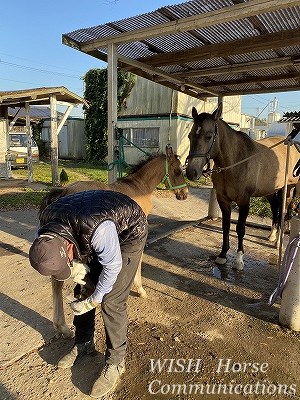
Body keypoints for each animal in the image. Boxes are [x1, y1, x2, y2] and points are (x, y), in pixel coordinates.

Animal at [40, 145, 188, 340]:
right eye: (178, 170)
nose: (184, 194)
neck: (139, 188)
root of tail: (61, 191)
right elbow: (137, 260)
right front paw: (140, 289)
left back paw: (61, 327)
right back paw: (64, 327)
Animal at [186, 104, 298, 272]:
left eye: (209, 136)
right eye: (189, 136)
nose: (191, 172)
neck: (236, 161)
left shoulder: (244, 201)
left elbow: (240, 228)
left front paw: (239, 260)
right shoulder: (223, 199)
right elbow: (226, 226)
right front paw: (223, 255)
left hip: (288, 189)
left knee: (284, 212)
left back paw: (278, 242)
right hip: (270, 190)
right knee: (275, 208)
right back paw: (272, 235)